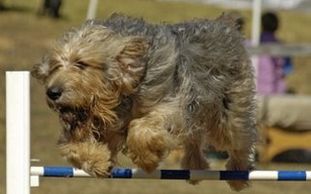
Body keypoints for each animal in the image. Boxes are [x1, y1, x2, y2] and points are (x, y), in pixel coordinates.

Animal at [31, 13, 258, 191]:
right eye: (55, 66)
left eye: (81, 64)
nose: (52, 93)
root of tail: (223, 24)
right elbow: (72, 147)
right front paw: (99, 161)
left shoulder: (173, 106)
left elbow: (141, 128)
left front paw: (146, 160)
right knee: (194, 138)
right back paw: (196, 167)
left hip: (227, 114)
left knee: (239, 140)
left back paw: (238, 174)